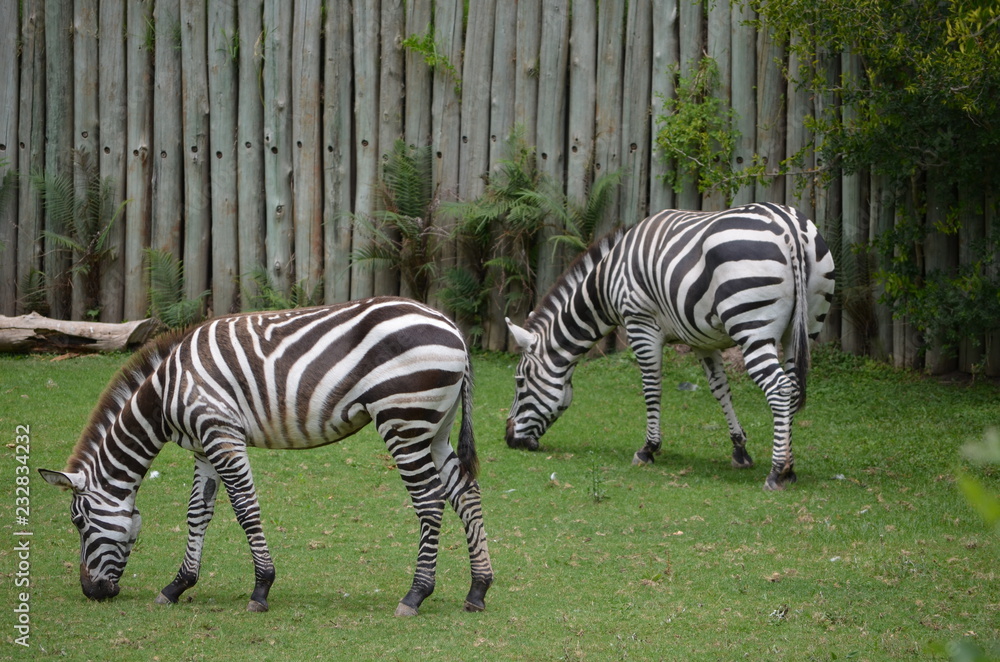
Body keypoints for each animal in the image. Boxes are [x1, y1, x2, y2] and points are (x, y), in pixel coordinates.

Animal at [40, 297, 493, 616]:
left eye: (78, 522)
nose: (91, 592)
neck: (166, 391)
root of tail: (451, 326)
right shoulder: (204, 445)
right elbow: (197, 513)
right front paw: (178, 585)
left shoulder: (221, 432)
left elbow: (245, 507)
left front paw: (261, 587)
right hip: (435, 427)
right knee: (465, 493)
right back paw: (478, 589)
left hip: (403, 420)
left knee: (430, 501)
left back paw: (415, 594)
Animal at [505, 203, 836, 490]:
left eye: (520, 382)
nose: (509, 440)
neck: (607, 282)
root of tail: (787, 224)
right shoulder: (703, 338)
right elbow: (720, 389)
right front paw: (739, 448)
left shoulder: (640, 324)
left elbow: (652, 387)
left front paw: (648, 449)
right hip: (803, 328)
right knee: (793, 388)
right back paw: (790, 467)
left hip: (752, 327)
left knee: (779, 388)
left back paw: (777, 471)